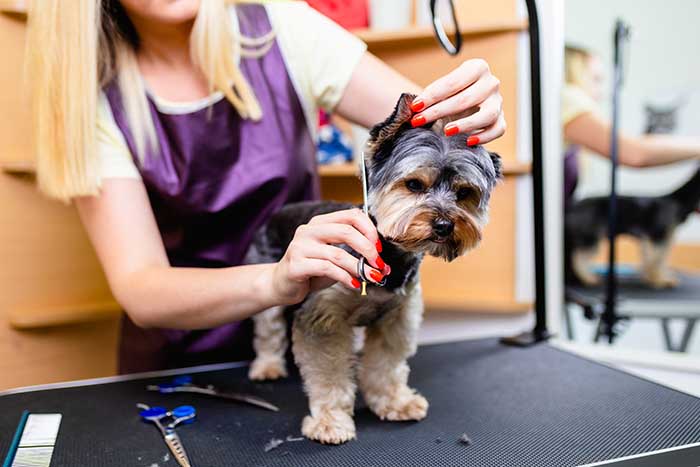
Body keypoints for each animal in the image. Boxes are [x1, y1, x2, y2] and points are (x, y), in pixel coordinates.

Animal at [243, 93, 500, 444]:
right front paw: (329, 421)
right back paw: (267, 367)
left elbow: (386, 365)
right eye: (414, 184)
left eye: (464, 193)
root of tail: (278, 212)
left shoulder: (397, 316)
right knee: (268, 330)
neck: (390, 254)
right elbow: (329, 374)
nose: (445, 225)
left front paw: (394, 402)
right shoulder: (324, 318)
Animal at [564, 165, 700, 288]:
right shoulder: (658, 237)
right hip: (589, 237)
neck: (679, 200)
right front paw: (658, 280)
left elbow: (654, 260)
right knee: (578, 258)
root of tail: (571, 208)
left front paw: (650, 277)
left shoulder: (653, 240)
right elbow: (657, 261)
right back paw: (588, 278)